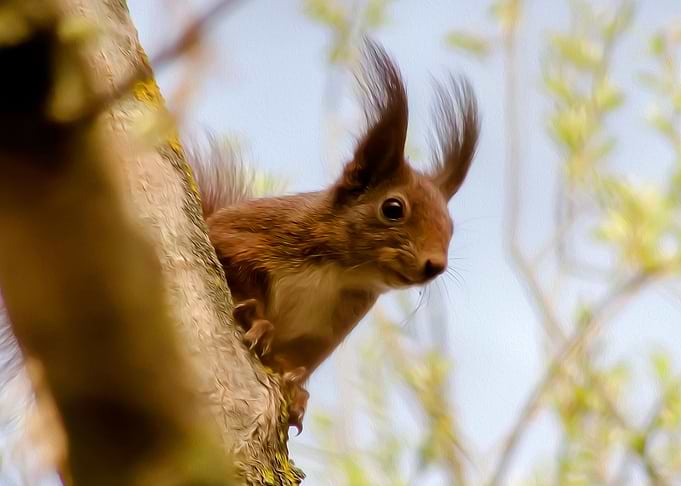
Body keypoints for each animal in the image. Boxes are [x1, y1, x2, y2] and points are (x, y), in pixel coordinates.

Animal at [188, 39, 480, 434]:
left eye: (450, 225)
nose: (435, 265)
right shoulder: (248, 233)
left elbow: (297, 359)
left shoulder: (328, 327)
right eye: (393, 208)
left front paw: (296, 390)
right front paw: (256, 318)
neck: (340, 270)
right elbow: (233, 263)